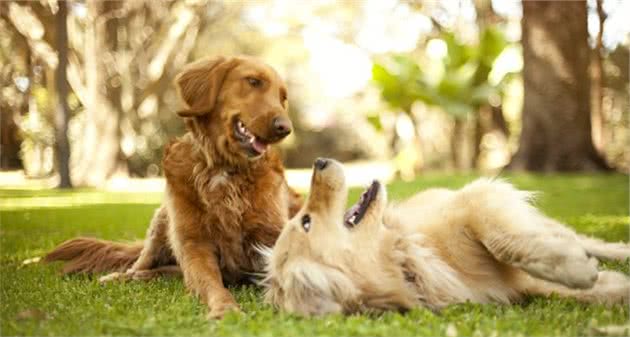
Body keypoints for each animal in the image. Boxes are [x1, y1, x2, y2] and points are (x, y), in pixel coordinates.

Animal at [46, 55, 304, 318]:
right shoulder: (193, 244)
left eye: (283, 98)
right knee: (141, 264)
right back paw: (120, 276)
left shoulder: (271, 237)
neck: (223, 169)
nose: (285, 128)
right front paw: (225, 308)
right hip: (161, 223)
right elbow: (211, 284)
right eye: (253, 81)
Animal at [262, 158, 630, 316]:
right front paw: (606, 284)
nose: (319, 160)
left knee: (582, 239)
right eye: (306, 221)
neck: (405, 259)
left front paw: (575, 269)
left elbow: (503, 241)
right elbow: (586, 292)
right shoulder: (518, 286)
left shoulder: (476, 200)